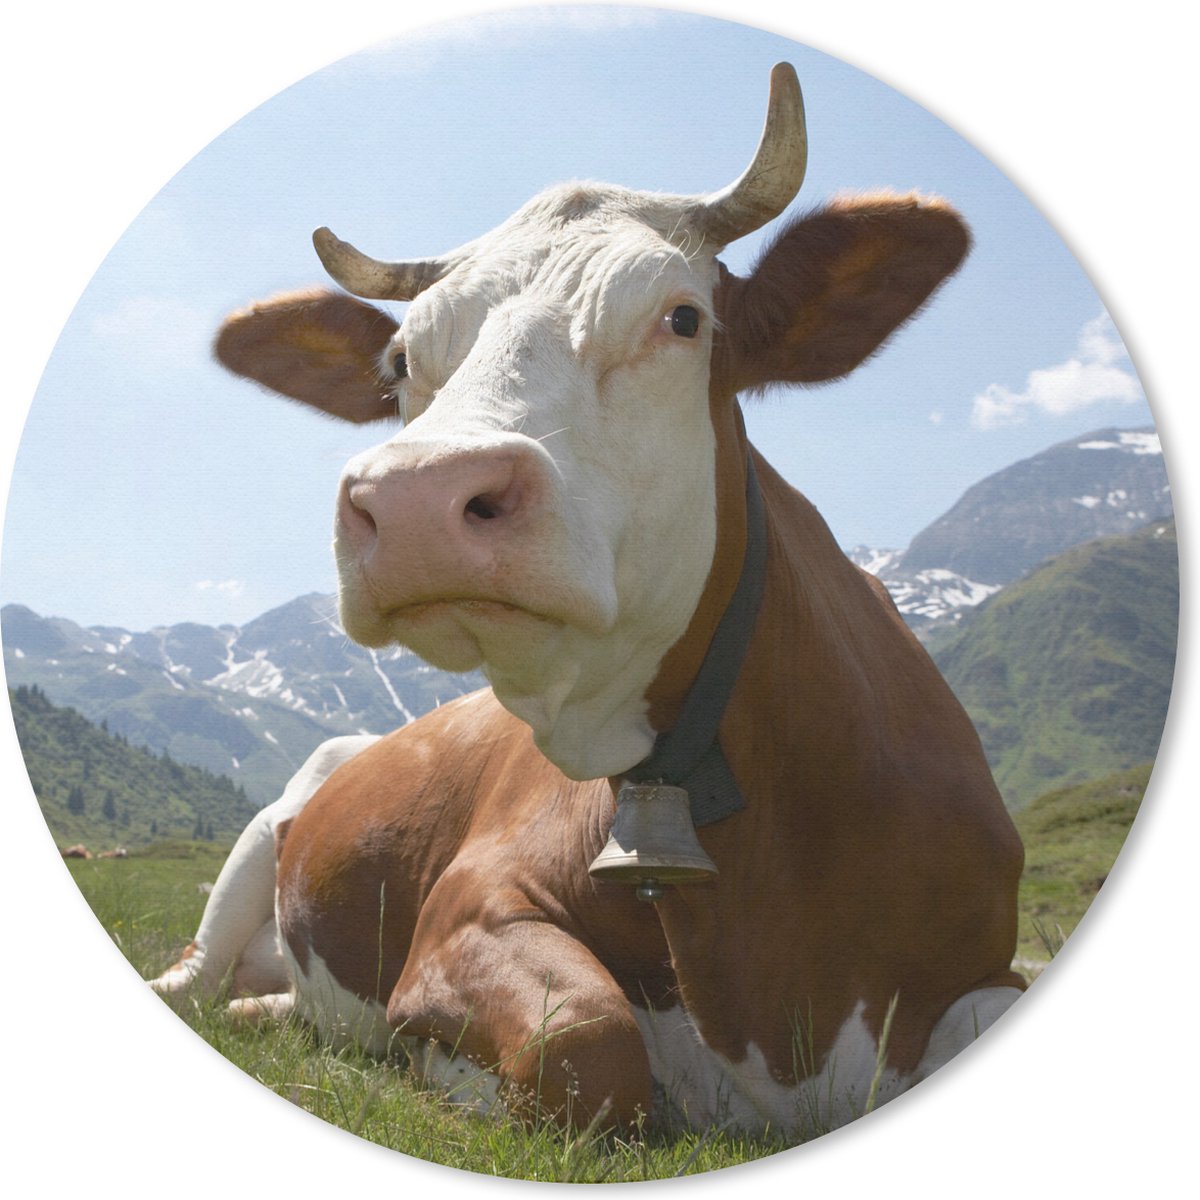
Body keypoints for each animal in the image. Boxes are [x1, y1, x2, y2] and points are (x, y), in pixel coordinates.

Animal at [150, 64, 1024, 1138]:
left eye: (683, 319)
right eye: (398, 365)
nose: (417, 499)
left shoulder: (984, 966)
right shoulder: (468, 908)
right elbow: (587, 1041)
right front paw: (440, 1069)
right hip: (253, 850)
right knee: (191, 979)